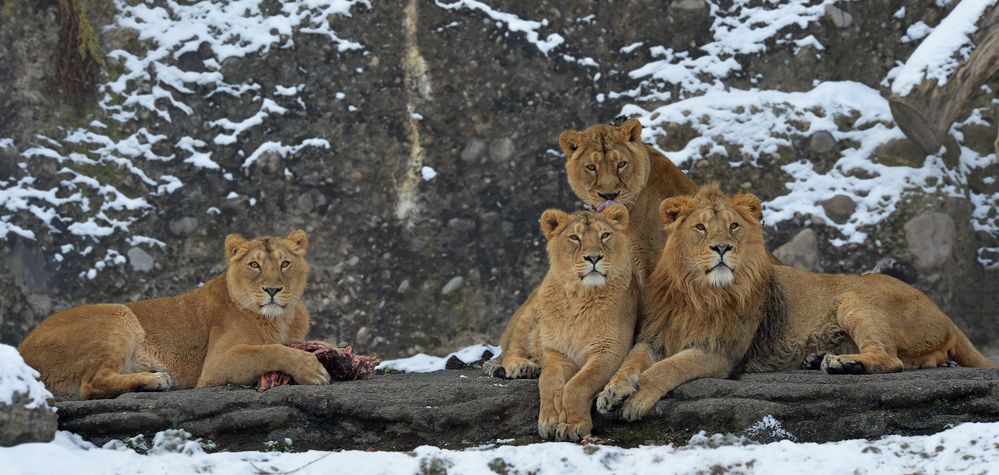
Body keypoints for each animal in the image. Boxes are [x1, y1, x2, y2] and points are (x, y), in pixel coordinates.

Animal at [18, 232, 332, 400]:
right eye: (254, 265)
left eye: (285, 263)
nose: (272, 289)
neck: (282, 319)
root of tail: (21, 351)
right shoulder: (215, 364)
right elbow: (270, 350)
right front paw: (313, 369)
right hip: (116, 315)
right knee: (91, 384)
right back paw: (155, 380)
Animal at [596, 184, 996, 422]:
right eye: (700, 227)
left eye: (734, 226)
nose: (723, 247)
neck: (699, 292)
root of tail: (946, 316)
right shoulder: (655, 337)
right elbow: (632, 360)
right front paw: (612, 391)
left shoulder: (721, 352)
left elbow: (667, 369)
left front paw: (637, 398)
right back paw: (821, 359)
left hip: (854, 299)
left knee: (892, 360)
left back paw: (842, 364)